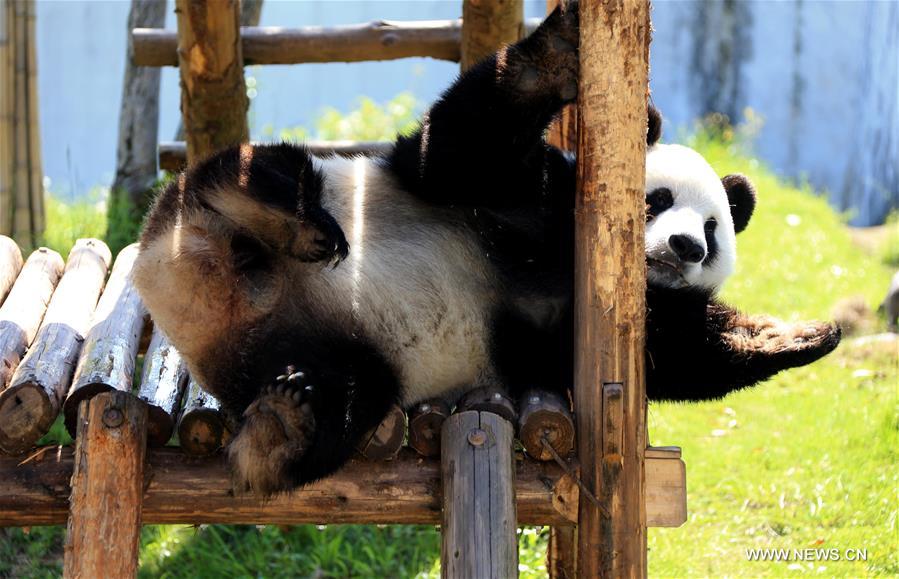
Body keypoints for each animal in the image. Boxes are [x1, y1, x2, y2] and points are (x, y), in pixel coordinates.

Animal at [134, 3, 844, 494]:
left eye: (713, 230)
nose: (684, 247)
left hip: (304, 353)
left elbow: (687, 355)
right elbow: (451, 154)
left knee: (347, 396)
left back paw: (283, 427)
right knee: (251, 172)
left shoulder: (591, 328)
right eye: (657, 200)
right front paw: (556, 54)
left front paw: (811, 332)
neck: (560, 257)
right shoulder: (526, 193)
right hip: (232, 204)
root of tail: (179, 289)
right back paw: (293, 223)